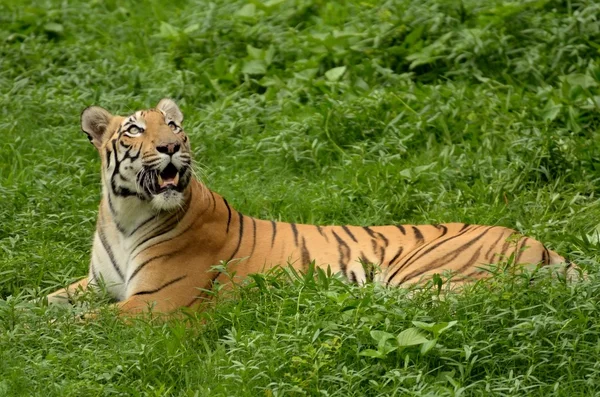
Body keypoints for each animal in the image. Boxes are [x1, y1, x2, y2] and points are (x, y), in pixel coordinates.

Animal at [45, 98, 572, 312]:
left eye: (174, 126)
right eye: (135, 129)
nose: (172, 147)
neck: (126, 216)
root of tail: (543, 244)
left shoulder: (155, 303)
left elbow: (86, 328)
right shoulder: (96, 284)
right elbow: (39, 304)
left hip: (420, 280)